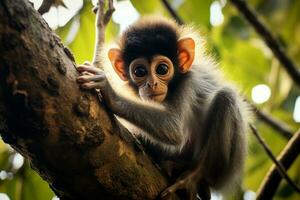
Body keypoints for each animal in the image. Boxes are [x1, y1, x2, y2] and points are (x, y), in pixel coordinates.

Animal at [77, 17, 248, 200]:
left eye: (162, 69)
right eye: (139, 71)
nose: (152, 84)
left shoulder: (188, 82)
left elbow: (174, 129)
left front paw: (109, 90)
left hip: (226, 171)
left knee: (226, 98)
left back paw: (195, 176)